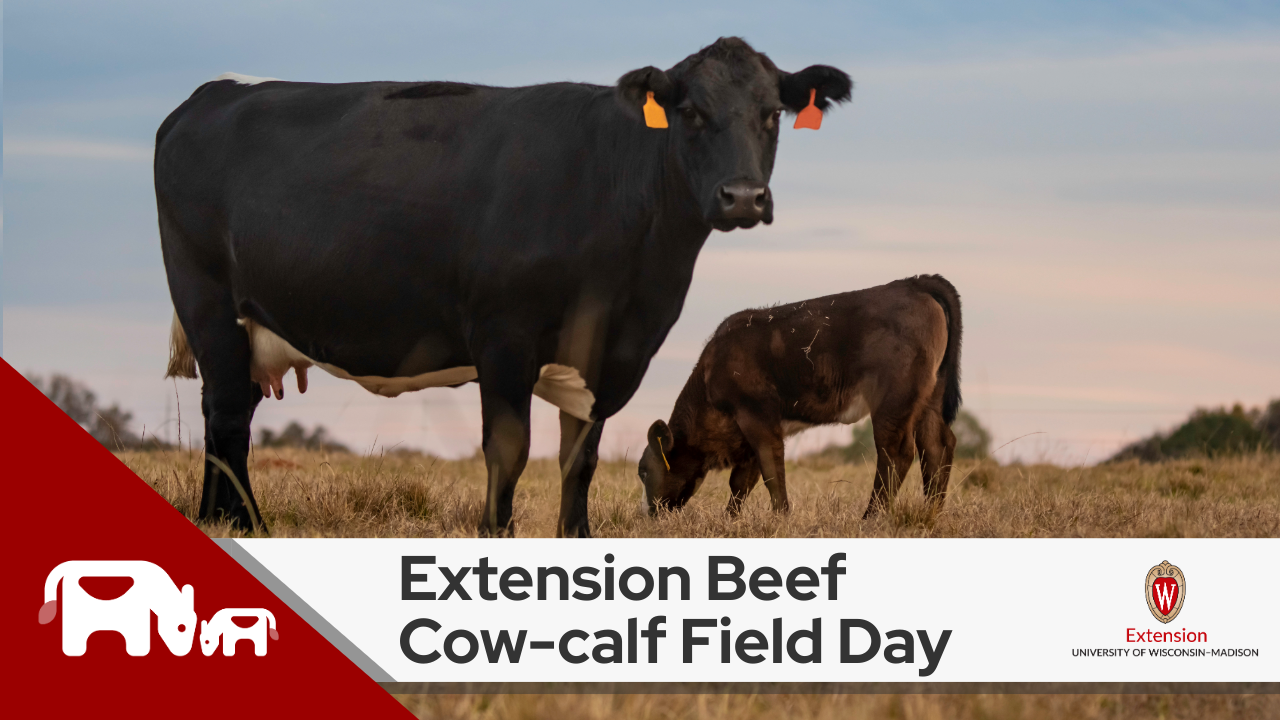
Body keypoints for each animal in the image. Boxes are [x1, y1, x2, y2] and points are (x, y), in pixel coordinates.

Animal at [157, 37, 849, 532]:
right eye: (691, 112)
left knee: (230, 414)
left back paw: (224, 521)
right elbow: (510, 450)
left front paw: (576, 538)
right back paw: (247, 526)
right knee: (227, 417)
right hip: (209, 304)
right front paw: (497, 534)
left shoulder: (606, 356)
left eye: (771, 114)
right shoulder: (504, 337)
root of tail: (209, 95)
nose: (743, 196)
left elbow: (580, 461)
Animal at [640, 274, 962, 515]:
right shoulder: (751, 432)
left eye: (643, 471)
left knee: (896, 452)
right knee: (936, 445)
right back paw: (931, 513)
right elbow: (743, 481)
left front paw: (781, 516)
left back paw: (872, 517)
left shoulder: (756, 415)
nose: (648, 513)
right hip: (929, 397)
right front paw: (731, 519)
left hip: (894, 400)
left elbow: (771, 470)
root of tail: (912, 283)